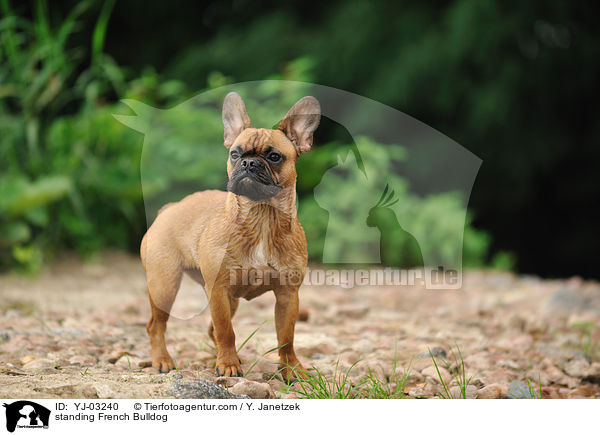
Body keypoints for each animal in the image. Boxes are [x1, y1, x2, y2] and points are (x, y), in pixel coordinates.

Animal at [141, 91, 322, 382]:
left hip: (228, 299)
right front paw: (227, 366)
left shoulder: (288, 295)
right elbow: (227, 330)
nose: (248, 162)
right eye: (234, 154)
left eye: (274, 156)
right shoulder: (219, 290)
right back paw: (162, 360)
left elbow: (286, 337)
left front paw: (292, 369)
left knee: (210, 330)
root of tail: (169, 209)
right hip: (164, 285)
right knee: (157, 325)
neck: (261, 217)